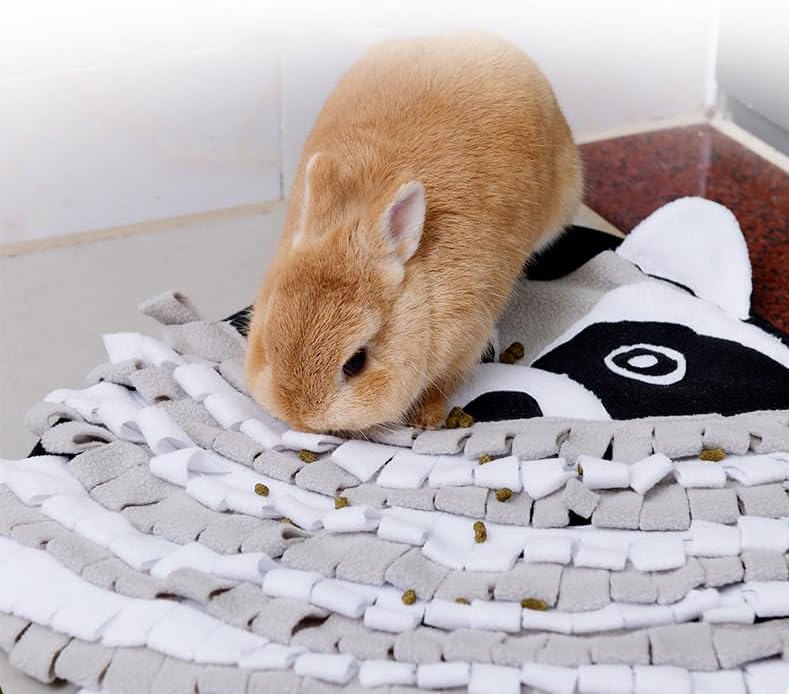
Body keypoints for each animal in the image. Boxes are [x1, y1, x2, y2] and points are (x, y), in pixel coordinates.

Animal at [245, 32, 582, 433]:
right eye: (268, 340)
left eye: (356, 362)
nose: (301, 418)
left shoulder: (465, 336)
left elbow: (444, 383)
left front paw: (427, 419)